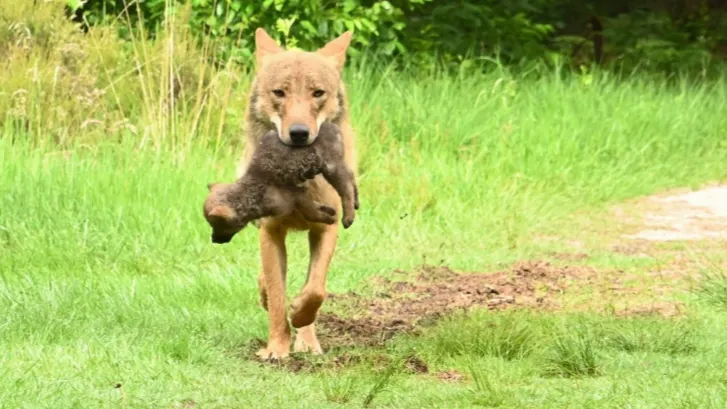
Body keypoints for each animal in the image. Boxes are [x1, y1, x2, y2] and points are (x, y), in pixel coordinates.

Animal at [236, 28, 358, 360]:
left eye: (318, 93)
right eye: (280, 93)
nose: (300, 133)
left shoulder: (327, 228)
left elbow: (316, 289)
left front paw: (302, 322)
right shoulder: (271, 232)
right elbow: (278, 297)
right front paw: (276, 350)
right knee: (267, 282)